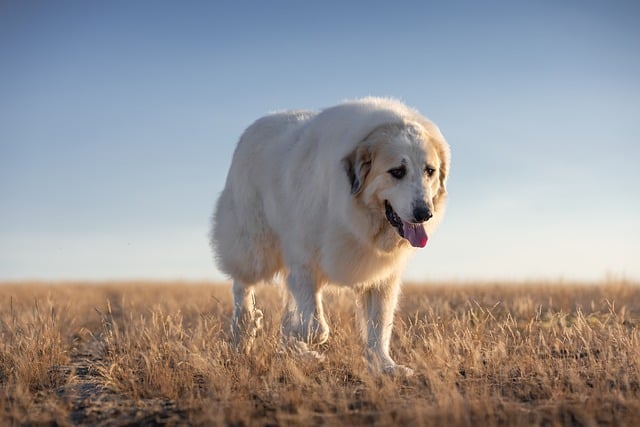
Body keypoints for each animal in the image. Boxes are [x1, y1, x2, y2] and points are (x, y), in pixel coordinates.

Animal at [211, 97, 450, 374]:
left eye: (429, 171)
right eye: (397, 172)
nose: (424, 213)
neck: (356, 215)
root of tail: (257, 124)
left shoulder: (382, 275)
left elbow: (379, 325)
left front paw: (384, 365)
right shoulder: (304, 262)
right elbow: (316, 327)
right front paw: (298, 333)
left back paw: (295, 350)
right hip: (254, 246)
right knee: (242, 284)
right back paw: (244, 330)